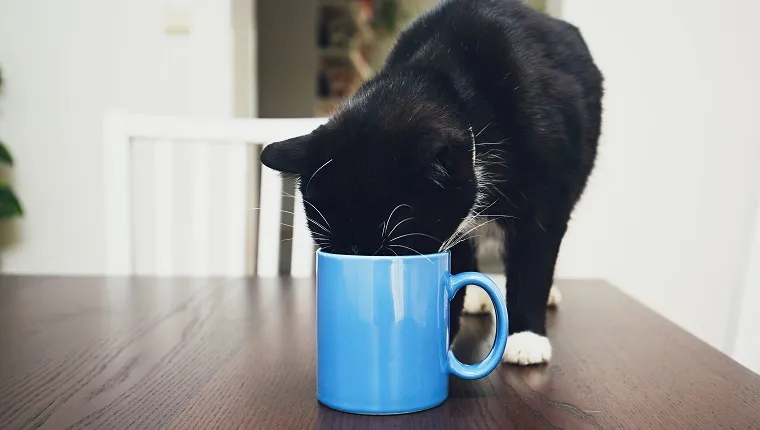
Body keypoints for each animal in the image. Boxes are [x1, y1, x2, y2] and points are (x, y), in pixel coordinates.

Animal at [262, 0, 600, 366]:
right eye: (334, 248)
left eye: (394, 250)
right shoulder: (453, 226)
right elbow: (455, 265)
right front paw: (443, 336)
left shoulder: (545, 193)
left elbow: (534, 258)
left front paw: (526, 337)